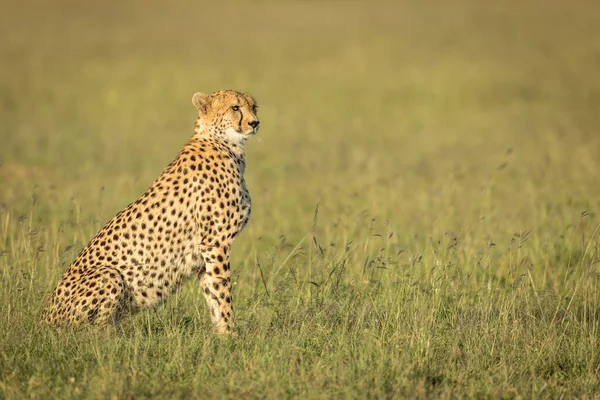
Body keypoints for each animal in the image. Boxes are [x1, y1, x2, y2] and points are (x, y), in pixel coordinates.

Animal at [40, 90, 260, 334]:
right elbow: (222, 292)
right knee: (93, 332)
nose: (255, 123)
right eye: (235, 108)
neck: (225, 143)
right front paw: (231, 333)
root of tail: (43, 319)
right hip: (109, 275)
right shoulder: (215, 243)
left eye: (254, 107)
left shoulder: (204, 252)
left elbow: (212, 294)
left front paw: (221, 334)